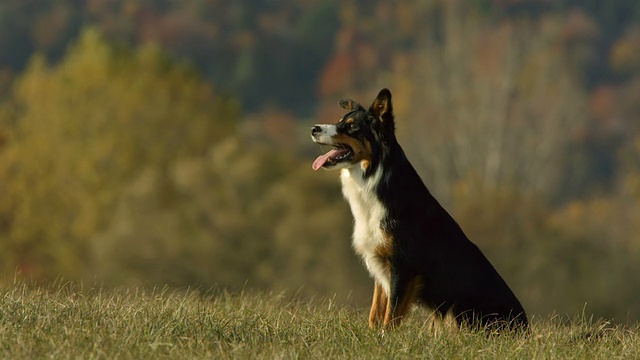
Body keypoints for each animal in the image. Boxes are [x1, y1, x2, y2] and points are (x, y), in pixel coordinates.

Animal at [308, 88, 524, 330]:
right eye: (339, 121)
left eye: (352, 126)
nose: (314, 129)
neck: (375, 176)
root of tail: (523, 327)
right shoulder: (382, 264)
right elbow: (376, 312)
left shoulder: (403, 267)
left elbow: (391, 315)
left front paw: (385, 337)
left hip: (459, 310)